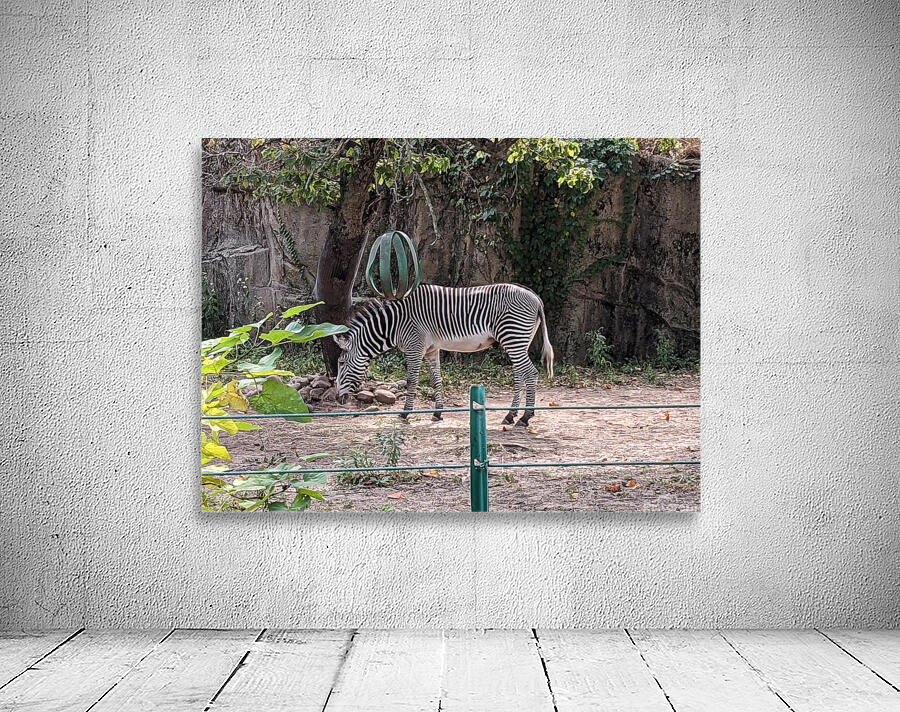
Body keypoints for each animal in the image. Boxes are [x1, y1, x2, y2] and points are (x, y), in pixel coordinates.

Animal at [333, 283, 555, 426]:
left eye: (342, 363)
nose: (337, 398)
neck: (394, 324)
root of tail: (535, 297)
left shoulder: (415, 347)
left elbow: (412, 381)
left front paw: (405, 413)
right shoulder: (431, 350)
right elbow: (436, 380)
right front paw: (438, 413)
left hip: (513, 337)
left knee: (531, 373)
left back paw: (526, 417)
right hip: (518, 341)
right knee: (520, 375)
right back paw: (510, 415)